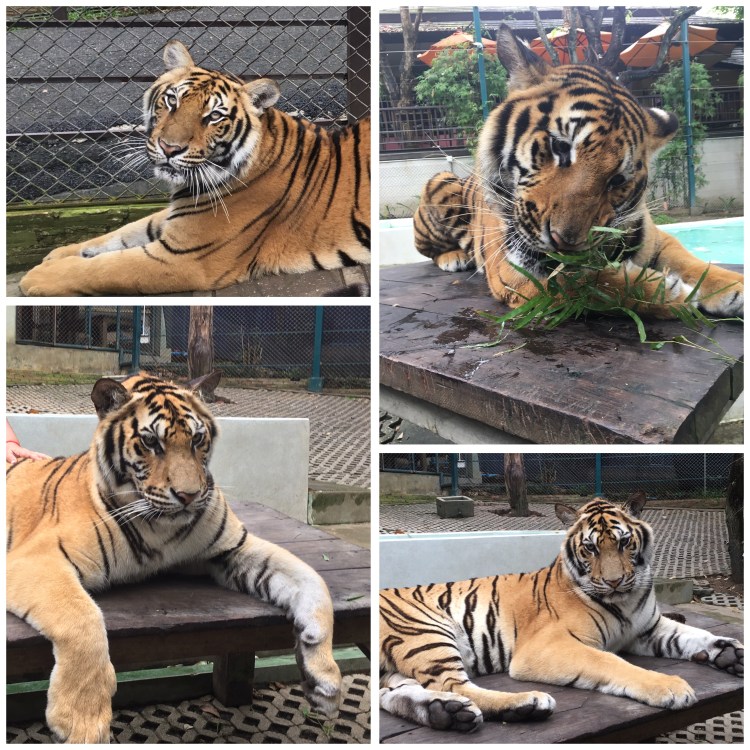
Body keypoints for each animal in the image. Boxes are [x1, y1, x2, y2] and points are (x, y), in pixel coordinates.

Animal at [6, 372, 341, 743]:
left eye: (197, 439)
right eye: (151, 442)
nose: (189, 496)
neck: (159, 527)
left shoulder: (234, 547)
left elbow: (313, 580)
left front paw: (323, 672)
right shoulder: (38, 558)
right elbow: (83, 617)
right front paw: (82, 721)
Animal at [18, 40, 371, 296]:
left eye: (214, 116)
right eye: (172, 100)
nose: (169, 148)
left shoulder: (187, 258)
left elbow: (106, 268)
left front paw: (37, 277)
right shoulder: (177, 219)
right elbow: (117, 236)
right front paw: (60, 253)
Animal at [380, 493, 743, 733]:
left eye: (624, 543)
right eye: (590, 548)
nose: (614, 581)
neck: (625, 600)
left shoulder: (647, 629)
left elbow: (696, 635)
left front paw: (731, 653)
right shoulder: (548, 645)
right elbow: (610, 663)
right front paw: (670, 687)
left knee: (400, 693)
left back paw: (447, 712)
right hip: (426, 631)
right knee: (455, 685)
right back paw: (527, 703)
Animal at [414, 24, 743, 319]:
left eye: (617, 180)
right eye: (560, 147)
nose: (564, 242)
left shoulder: (653, 237)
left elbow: (689, 261)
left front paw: (734, 287)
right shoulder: (517, 270)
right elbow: (592, 284)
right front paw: (670, 293)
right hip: (441, 183)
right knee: (429, 250)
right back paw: (455, 258)